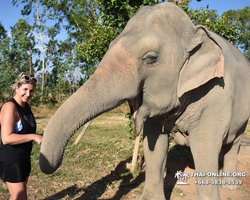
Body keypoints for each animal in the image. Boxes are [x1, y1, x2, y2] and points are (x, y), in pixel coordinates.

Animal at [39, 1, 250, 200]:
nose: (55, 164)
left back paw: (229, 186)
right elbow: (154, 144)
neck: (194, 32)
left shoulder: (217, 93)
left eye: (151, 58)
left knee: (234, 143)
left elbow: (205, 145)